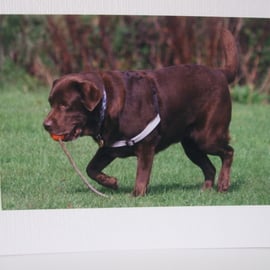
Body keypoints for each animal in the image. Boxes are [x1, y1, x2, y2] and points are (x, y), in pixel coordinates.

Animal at [42, 29, 238, 196]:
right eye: (51, 103)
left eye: (65, 105)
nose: (45, 125)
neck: (107, 103)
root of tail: (220, 73)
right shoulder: (109, 147)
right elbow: (90, 168)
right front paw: (111, 182)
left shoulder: (146, 144)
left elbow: (142, 174)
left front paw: (136, 195)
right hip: (191, 144)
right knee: (210, 167)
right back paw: (205, 190)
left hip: (206, 136)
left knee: (229, 152)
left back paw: (223, 184)